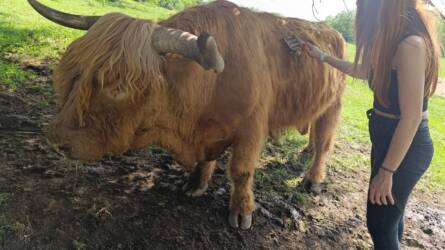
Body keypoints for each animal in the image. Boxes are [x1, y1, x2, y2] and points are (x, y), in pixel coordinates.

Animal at [29, 0, 346, 229]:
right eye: (75, 73)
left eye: (118, 86)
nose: (56, 139)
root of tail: (328, 31)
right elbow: (206, 161)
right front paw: (195, 183)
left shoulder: (252, 128)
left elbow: (241, 171)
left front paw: (241, 212)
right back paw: (305, 150)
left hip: (335, 103)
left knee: (325, 141)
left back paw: (313, 179)